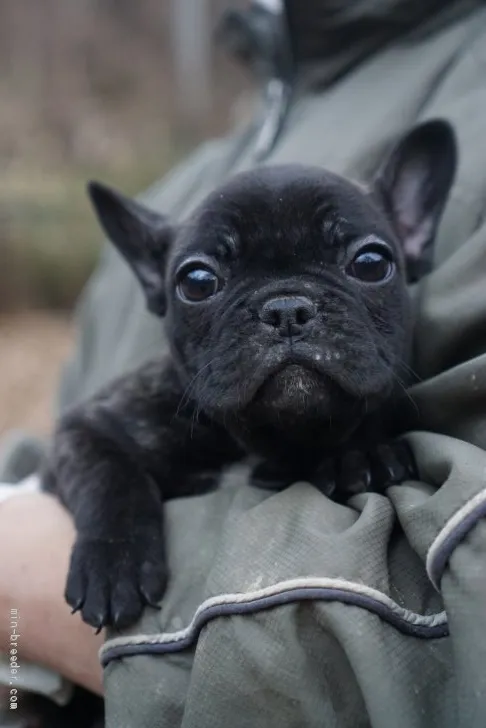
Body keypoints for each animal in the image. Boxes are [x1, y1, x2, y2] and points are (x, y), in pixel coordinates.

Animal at [43, 119, 458, 632]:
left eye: (371, 263)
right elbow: (108, 475)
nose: (286, 308)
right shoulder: (89, 427)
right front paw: (114, 561)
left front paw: (362, 453)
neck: (260, 439)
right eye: (197, 281)